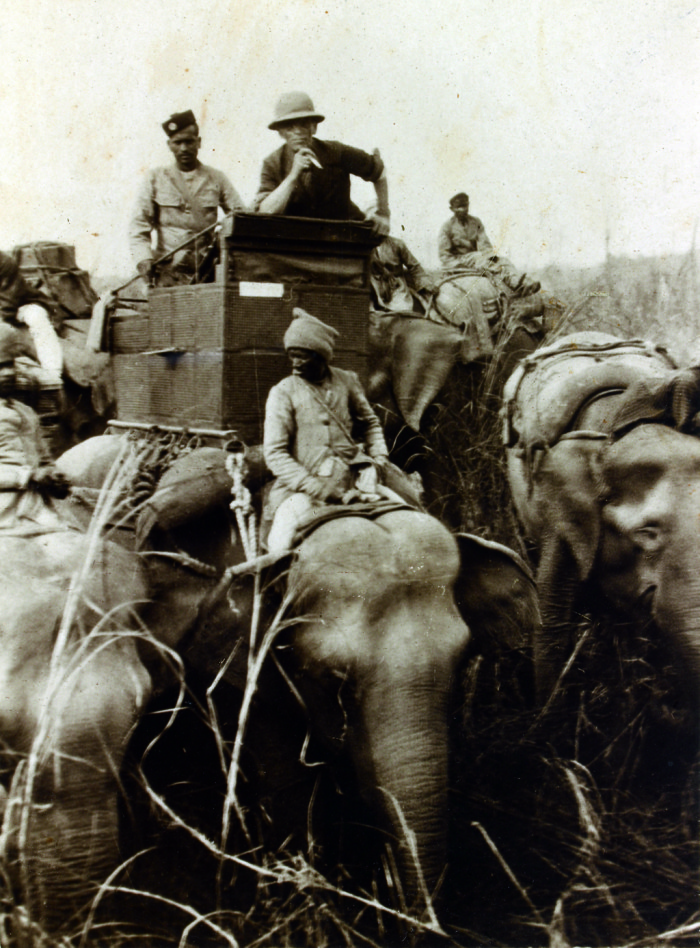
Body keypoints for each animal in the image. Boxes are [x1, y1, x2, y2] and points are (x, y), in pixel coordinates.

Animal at [0, 434, 540, 936]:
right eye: (333, 677)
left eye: (463, 660)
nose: (419, 927)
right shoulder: (236, 640)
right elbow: (280, 766)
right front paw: (297, 892)